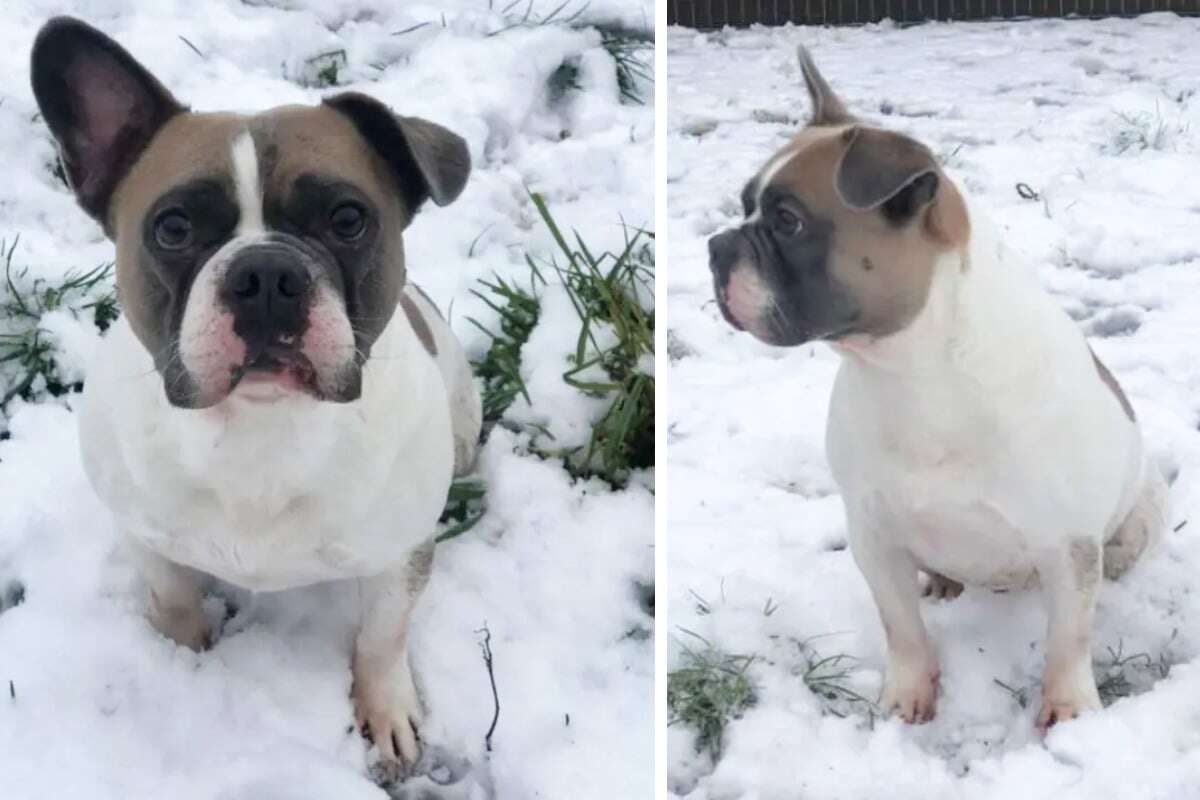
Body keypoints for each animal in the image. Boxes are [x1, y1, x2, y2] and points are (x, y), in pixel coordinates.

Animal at [29, 15, 477, 767]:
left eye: (348, 219)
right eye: (173, 227)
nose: (266, 273)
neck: (259, 429)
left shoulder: (399, 554)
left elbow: (382, 637)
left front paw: (387, 709)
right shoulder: (147, 538)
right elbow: (174, 598)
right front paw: (182, 656)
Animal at [705, 47, 1166, 729]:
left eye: (788, 222)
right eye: (745, 206)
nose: (716, 246)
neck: (912, 370)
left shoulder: (1068, 547)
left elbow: (1068, 636)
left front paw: (1069, 707)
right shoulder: (874, 536)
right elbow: (901, 626)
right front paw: (908, 694)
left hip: (1138, 517)